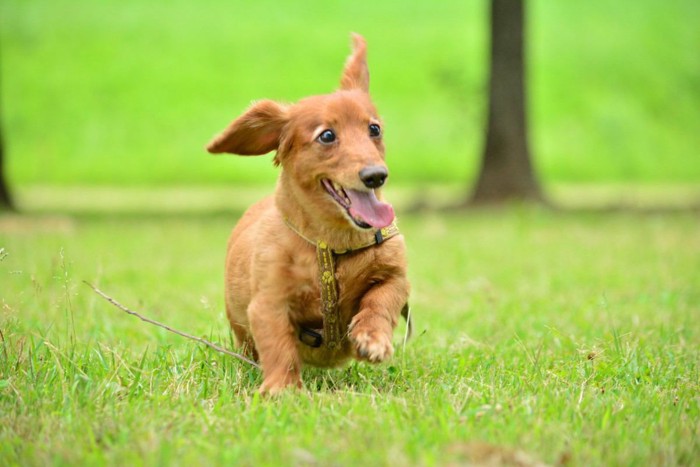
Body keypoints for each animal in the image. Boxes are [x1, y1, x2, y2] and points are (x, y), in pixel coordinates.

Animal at [205, 34, 410, 394]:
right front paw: (283, 389)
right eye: (327, 135)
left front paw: (373, 337)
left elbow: (380, 300)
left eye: (374, 129)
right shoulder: (269, 303)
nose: (376, 176)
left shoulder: (396, 275)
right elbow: (279, 346)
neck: (333, 245)